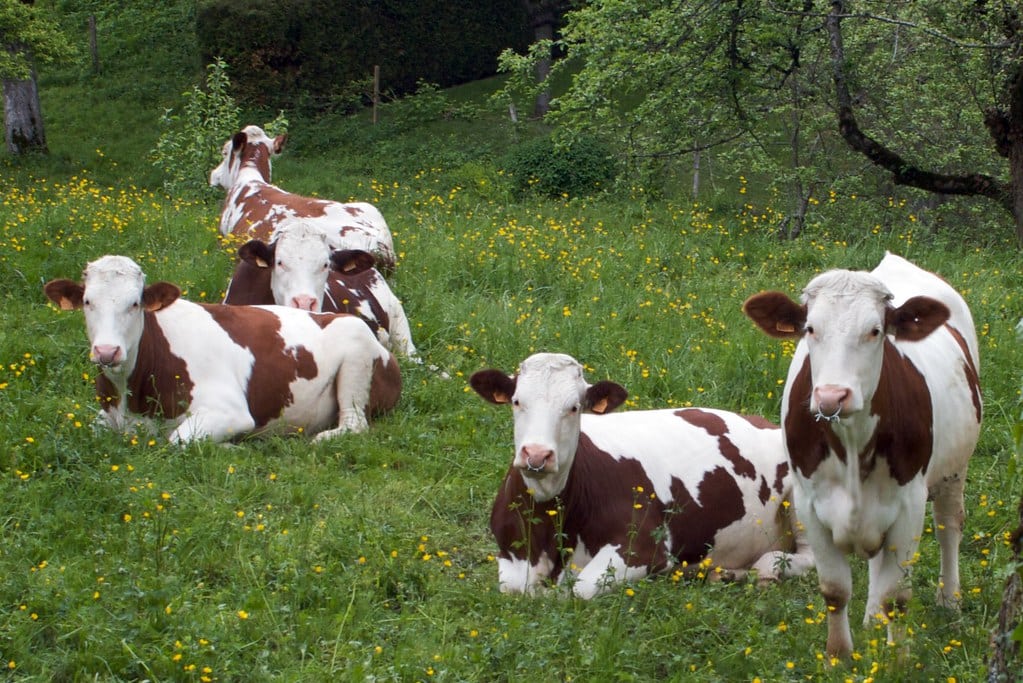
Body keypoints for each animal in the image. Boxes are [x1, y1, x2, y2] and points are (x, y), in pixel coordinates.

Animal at [44, 255, 401, 445]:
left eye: (134, 304)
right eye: (87, 302)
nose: (107, 351)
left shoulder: (231, 412)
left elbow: (176, 441)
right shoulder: (105, 418)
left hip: (356, 348)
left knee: (354, 424)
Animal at [209, 125, 396, 271]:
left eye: (224, 152)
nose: (213, 175)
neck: (250, 177)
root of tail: (383, 250)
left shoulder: (222, 239)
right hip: (370, 207)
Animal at [470, 352, 814, 600]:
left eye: (574, 407)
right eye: (517, 402)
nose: (537, 455)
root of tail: (768, 423)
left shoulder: (642, 547)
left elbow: (577, 590)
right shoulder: (509, 550)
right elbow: (518, 589)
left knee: (807, 557)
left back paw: (766, 567)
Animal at [742, 251, 982, 657]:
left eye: (875, 331)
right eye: (810, 329)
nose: (832, 396)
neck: (852, 445)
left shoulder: (909, 505)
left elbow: (897, 596)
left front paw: (897, 661)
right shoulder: (809, 505)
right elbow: (835, 591)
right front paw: (838, 657)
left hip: (954, 468)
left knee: (949, 525)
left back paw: (949, 599)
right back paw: (871, 618)